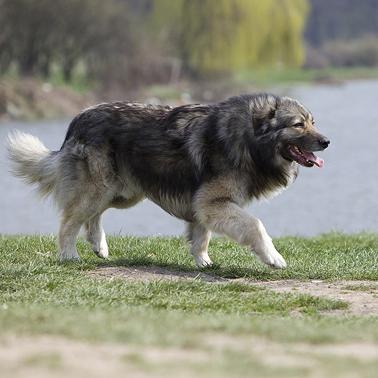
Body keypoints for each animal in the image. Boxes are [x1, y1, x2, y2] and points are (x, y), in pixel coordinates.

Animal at [7, 93, 330, 268]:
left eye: (313, 121)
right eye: (298, 124)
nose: (327, 141)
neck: (250, 139)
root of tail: (77, 120)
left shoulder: (203, 205)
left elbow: (201, 235)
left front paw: (203, 262)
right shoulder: (213, 201)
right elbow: (255, 225)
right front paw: (273, 257)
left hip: (121, 192)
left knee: (92, 217)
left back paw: (100, 246)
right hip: (100, 188)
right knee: (70, 221)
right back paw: (69, 255)